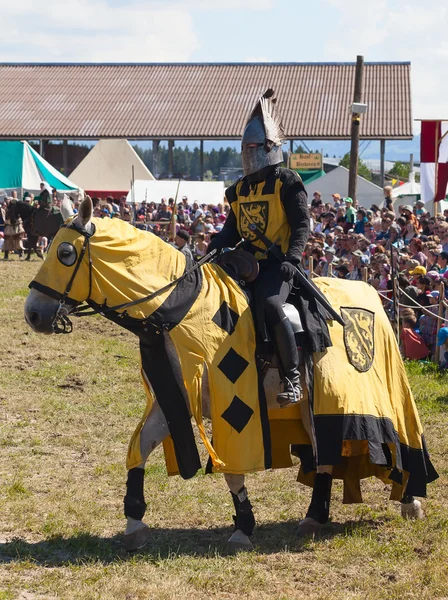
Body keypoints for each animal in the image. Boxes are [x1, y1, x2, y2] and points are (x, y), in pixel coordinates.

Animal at [23, 198, 438, 552]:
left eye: (65, 253)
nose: (33, 314)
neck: (181, 307)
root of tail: (373, 296)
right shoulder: (171, 400)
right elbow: (138, 450)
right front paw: (134, 523)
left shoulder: (235, 408)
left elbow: (232, 471)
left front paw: (243, 528)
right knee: (326, 455)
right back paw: (318, 516)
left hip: (345, 397)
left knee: (379, 438)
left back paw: (404, 501)